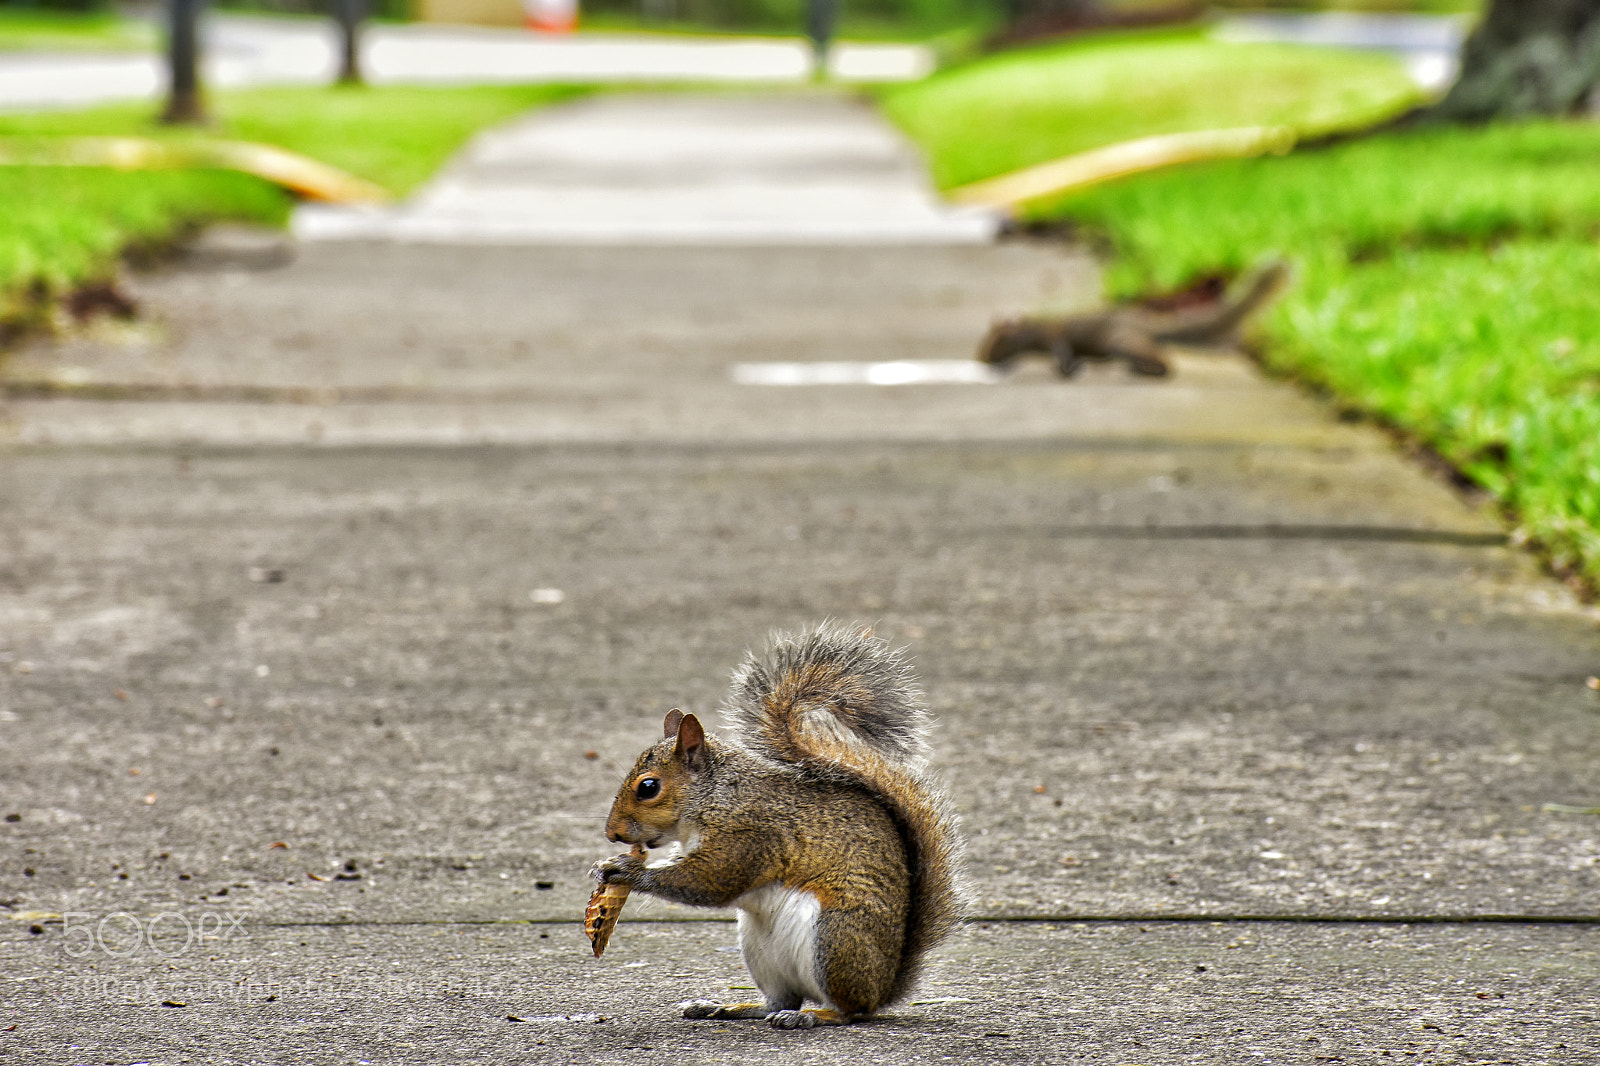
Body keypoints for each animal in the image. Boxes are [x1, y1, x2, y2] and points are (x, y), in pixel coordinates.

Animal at [590, 623, 965, 1030]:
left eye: (648, 787)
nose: (612, 833)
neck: (715, 796)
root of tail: (884, 987)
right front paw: (606, 864)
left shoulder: (747, 837)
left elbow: (707, 882)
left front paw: (627, 870)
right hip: (760, 948)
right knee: (780, 999)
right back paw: (729, 1007)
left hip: (836, 939)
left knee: (850, 1010)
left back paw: (811, 1016)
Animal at [977, 260, 1290, 379]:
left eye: (998, 339)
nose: (983, 358)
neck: (1035, 327)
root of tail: (1146, 324)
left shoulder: (1056, 338)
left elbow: (1064, 356)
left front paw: (1063, 371)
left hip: (1123, 341)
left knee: (1166, 363)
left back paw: (1143, 370)